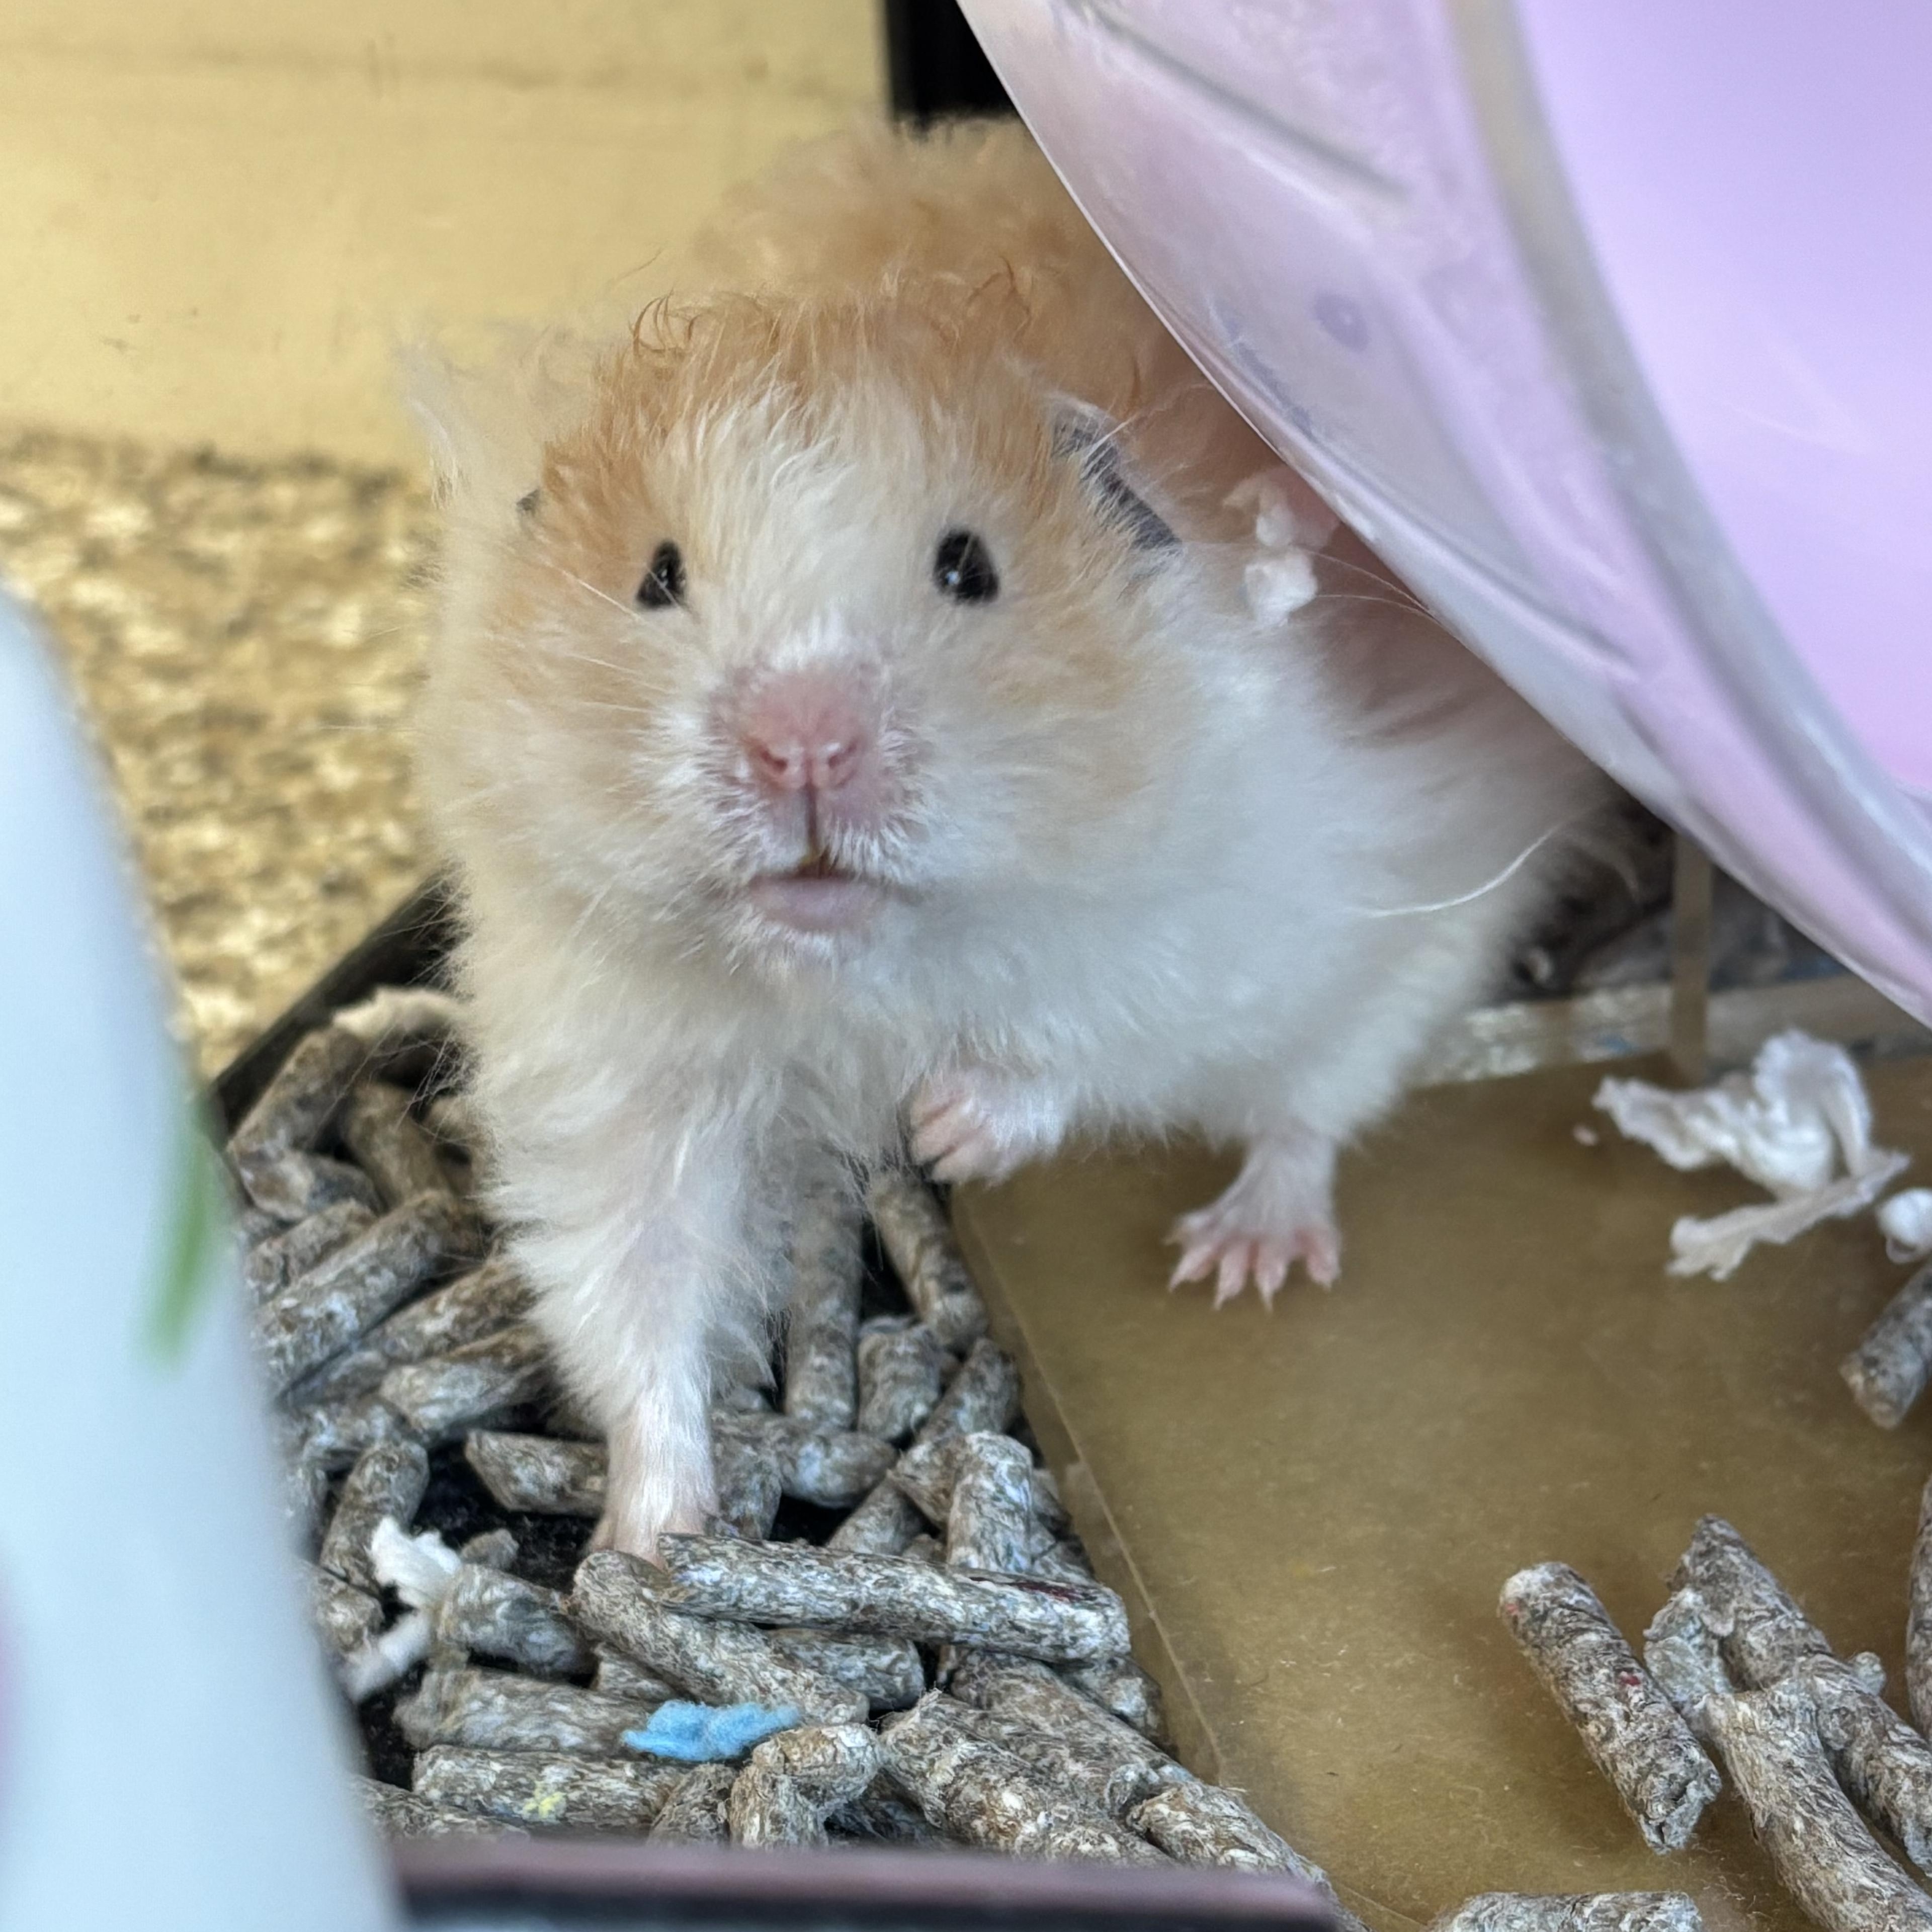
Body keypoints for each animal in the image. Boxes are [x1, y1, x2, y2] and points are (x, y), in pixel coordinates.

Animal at [415, 120, 1603, 1558]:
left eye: (968, 567)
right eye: (656, 576)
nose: (800, 746)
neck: (866, 970)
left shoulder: (1220, 919)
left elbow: (1082, 1041)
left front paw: (942, 1133)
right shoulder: (607, 1070)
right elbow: (630, 1297)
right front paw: (644, 1545)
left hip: (1397, 962)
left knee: (1307, 1109)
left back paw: (1238, 1261)